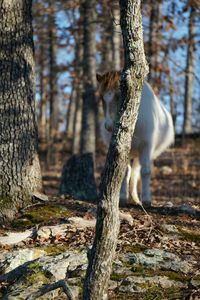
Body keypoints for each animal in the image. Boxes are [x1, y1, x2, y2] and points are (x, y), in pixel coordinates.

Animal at [97, 71, 175, 206]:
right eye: (102, 97)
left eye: (119, 96)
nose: (108, 126)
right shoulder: (123, 149)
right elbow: (123, 172)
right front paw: (122, 198)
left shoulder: (146, 146)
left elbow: (146, 172)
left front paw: (147, 200)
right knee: (132, 172)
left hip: (142, 152)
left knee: (138, 171)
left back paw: (137, 199)